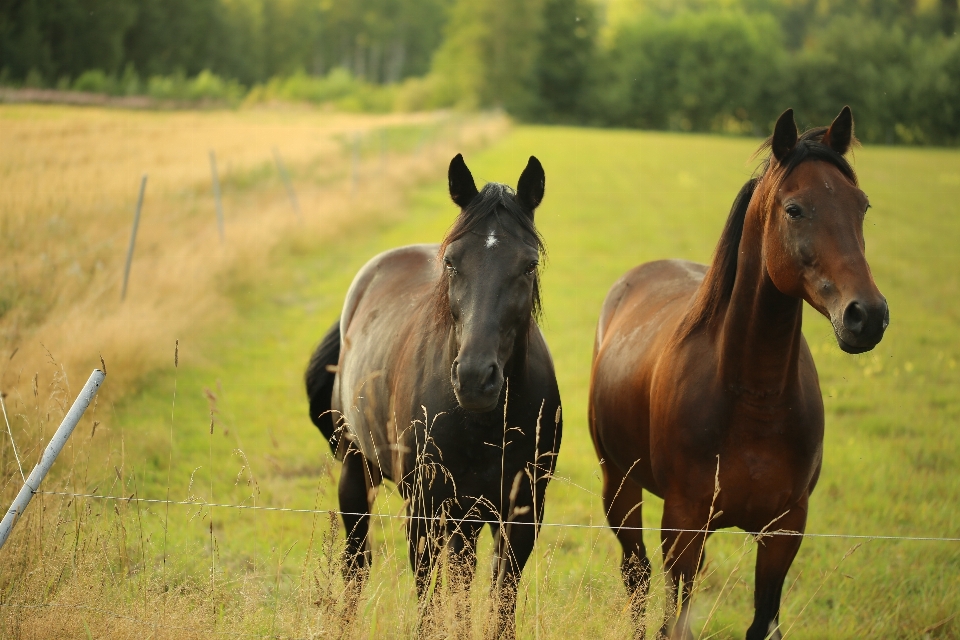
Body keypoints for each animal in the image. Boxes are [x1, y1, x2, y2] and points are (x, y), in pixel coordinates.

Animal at [306, 154, 564, 636]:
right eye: (452, 263)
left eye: (528, 265)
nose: (476, 377)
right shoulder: (423, 510)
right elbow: (429, 601)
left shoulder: (522, 513)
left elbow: (498, 600)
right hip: (357, 467)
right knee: (356, 562)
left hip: (465, 516)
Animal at [588, 107, 888, 636]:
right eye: (795, 209)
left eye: (862, 206)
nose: (866, 315)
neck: (754, 398)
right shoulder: (683, 524)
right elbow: (674, 619)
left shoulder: (785, 529)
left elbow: (762, 621)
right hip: (619, 486)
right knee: (636, 575)